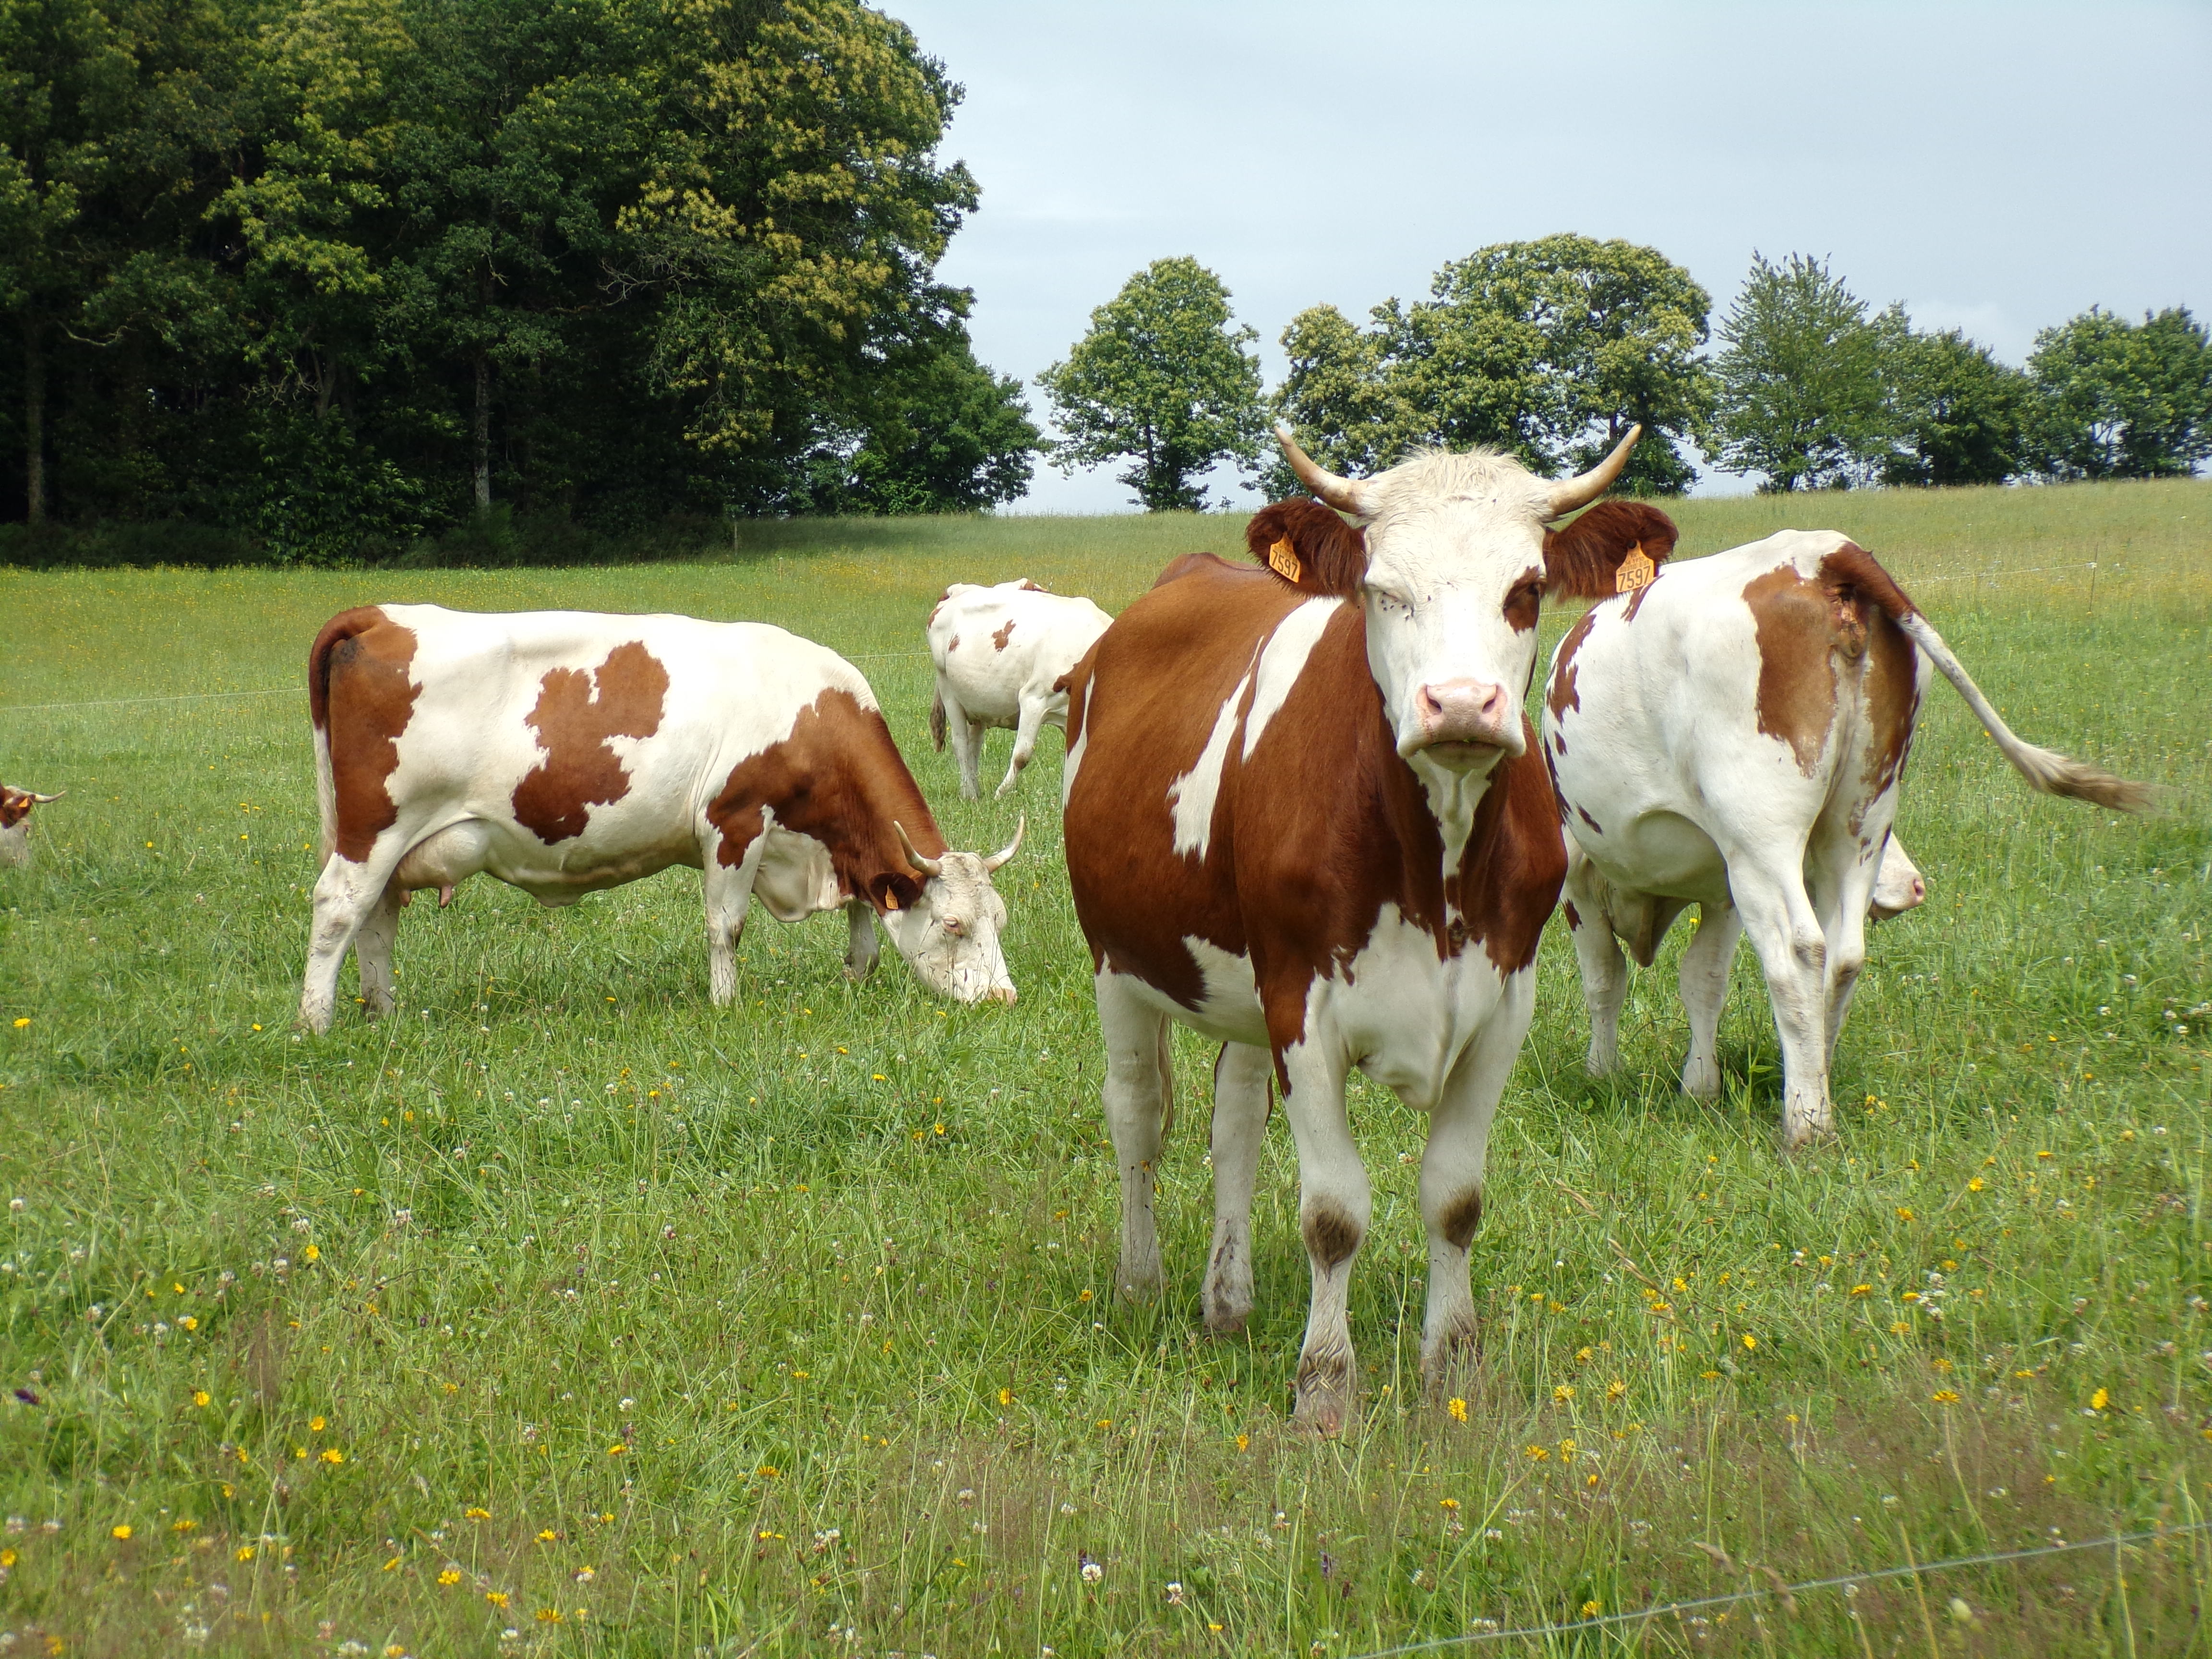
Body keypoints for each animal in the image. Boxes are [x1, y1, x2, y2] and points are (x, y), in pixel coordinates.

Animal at [300, 605, 1023, 1034]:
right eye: (954, 925)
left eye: (999, 918)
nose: (1003, 998)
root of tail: (384, 616)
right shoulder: (735, 823)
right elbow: (726, 927)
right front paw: (727, 1005)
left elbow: (865, 921)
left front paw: (854, 976)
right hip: (376, 830)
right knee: (339, 909)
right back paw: (316, 1023)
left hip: (389, 843)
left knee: (377, 919)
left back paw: (385, 1013)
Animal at [927, 580, 1113, 799]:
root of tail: (956, 589)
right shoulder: (1034, 698)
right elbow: (1022, 755)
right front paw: (1000, 794)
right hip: (948, 688)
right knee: (961, 744)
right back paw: (970, 793)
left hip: (977, 700)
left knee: (974, 744)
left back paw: (974, 791)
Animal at [1059, 423, 1662, 1434]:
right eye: (1383, 588)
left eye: (1525, 588)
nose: (1458, 705)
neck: (1436, 866)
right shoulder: (1303, 1006)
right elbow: (1333, 1212)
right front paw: (1323, 1389)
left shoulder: (1502, 1006)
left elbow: (1454, 1199)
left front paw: (1452, 1370)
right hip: (1120, 959)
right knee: (1136, 1112)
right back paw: (1141, 1283)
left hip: (1244, 992)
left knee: (1232, 1121)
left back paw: (1227, 1301)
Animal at [1543, 528, 2149, 1148]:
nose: (1915, 887)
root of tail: (1820, 549)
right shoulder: (1722, 885)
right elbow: (1702, 980)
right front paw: (1699, 1088)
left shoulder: (1582, 871)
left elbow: (1606, 978)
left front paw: (1603, 1074)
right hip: (1857, 821)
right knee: (1844, 956)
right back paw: (1814, 1083)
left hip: (1762, 835)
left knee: (1797, 955)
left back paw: (1806, 1124)